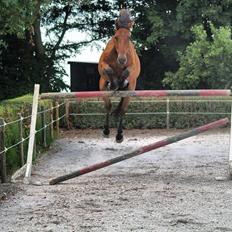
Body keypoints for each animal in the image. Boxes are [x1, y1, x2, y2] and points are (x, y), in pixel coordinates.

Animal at [97, 9, 140, 142]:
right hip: (102, 85)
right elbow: (108, 70)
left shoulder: (132, 68)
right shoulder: (102, 67)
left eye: (129, 37)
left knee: (122, 110)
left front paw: (121, 81)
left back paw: (119, 135)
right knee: (110, 106)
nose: (122, 60)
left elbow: (127, 72)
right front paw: (114, 84)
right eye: (116, 37)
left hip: (130, 90)